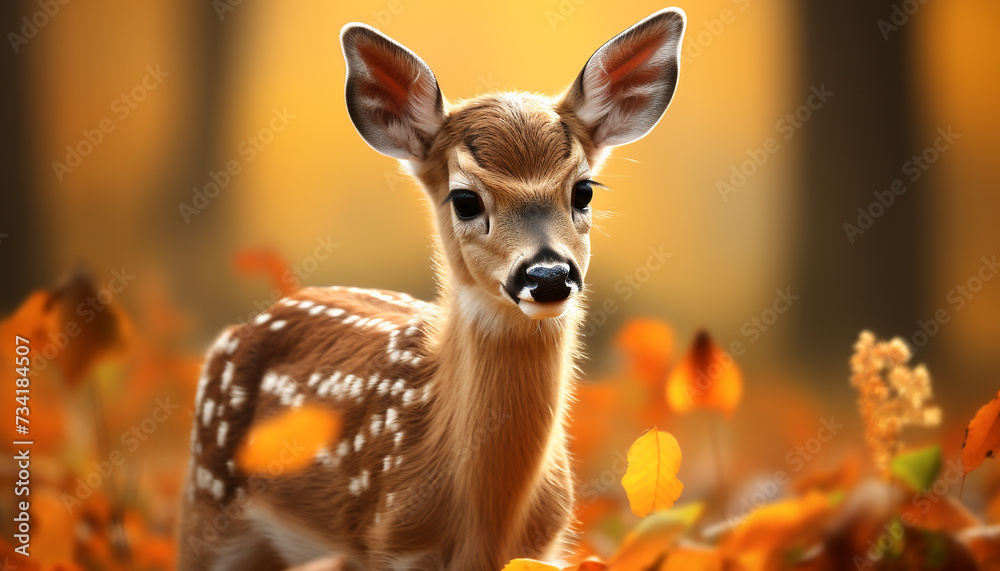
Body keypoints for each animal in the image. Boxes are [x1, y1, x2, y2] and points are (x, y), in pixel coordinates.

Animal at [178, 8, 686, 570]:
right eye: (465, 200)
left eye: (583, 191)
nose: (549, 275)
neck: (485, 528)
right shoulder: (387, 544)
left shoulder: (545, 548)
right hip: (208, 497)